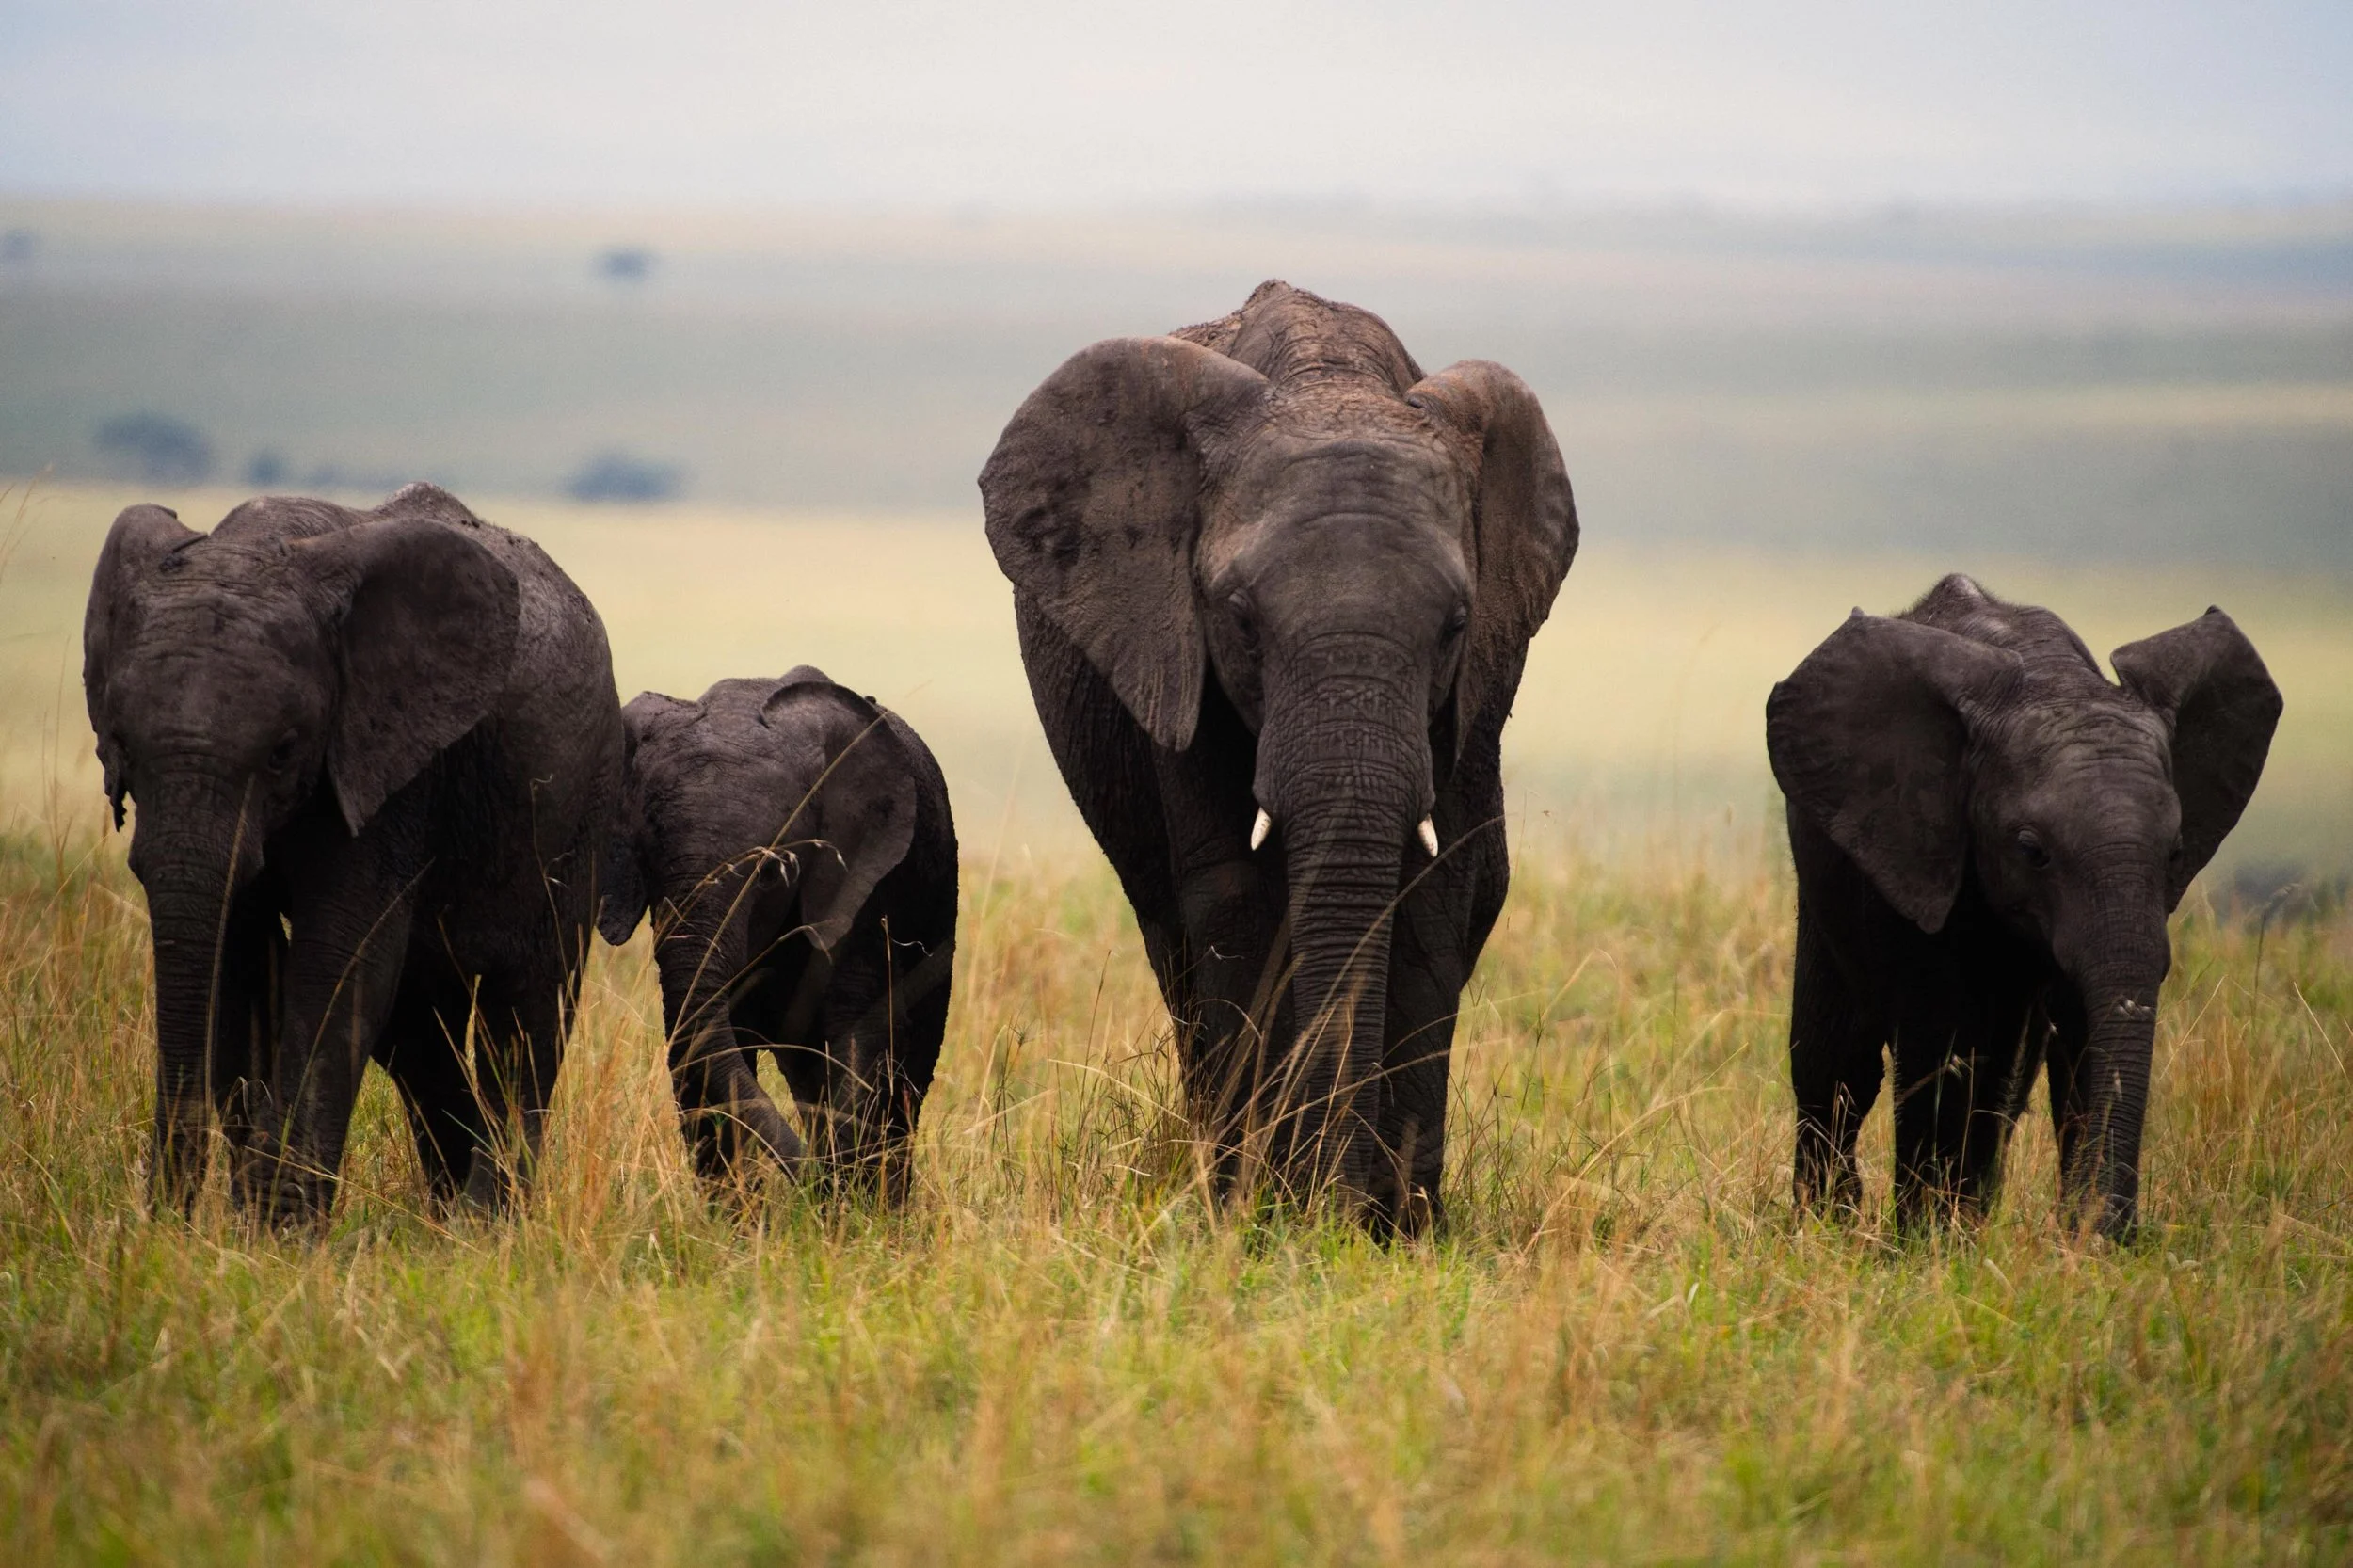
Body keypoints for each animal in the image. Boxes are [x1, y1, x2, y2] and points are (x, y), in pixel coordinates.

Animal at [82, 483, 624, 1224]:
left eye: (283, 752)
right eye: (120, 745)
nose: (163, 1220)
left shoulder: (391, 765)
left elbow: (338, 957)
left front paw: (279, 1233)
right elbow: (240, 959)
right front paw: (247, 1222)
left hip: (580, 808)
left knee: (526, 1012)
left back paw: (484, 1226)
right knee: (418, 1029)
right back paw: (446, 1217)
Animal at [596, 668, 957, 1199]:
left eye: (769, 874)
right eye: (649, 867)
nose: (806, 1179)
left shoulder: (867, 892)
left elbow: (857, 1042)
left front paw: (845, 1202)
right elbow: (699, 1052)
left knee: (909, 1071)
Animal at [980, 279, 1578, 1234]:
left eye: (1455, 625)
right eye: (1240, 619)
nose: (1335, 1210)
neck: (1328, 380)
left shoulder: (1480, 682)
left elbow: (1436, 889)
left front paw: (1399, 1228)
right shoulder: (1174, 651)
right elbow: (1236, 896)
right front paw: (1262, 1213)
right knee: (1174, 939)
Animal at [1766, 573, 2282, 1239]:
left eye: (2175, 853)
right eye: (2032, 850)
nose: (2120, 1236)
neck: (2051, 681)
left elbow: (2078, 1036)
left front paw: (2078, 1241)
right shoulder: (1917, 847)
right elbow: (1938, 1037)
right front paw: (1923, 1243)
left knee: (2001, 1080)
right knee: (1838, 1061)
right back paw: (1836, 1221)